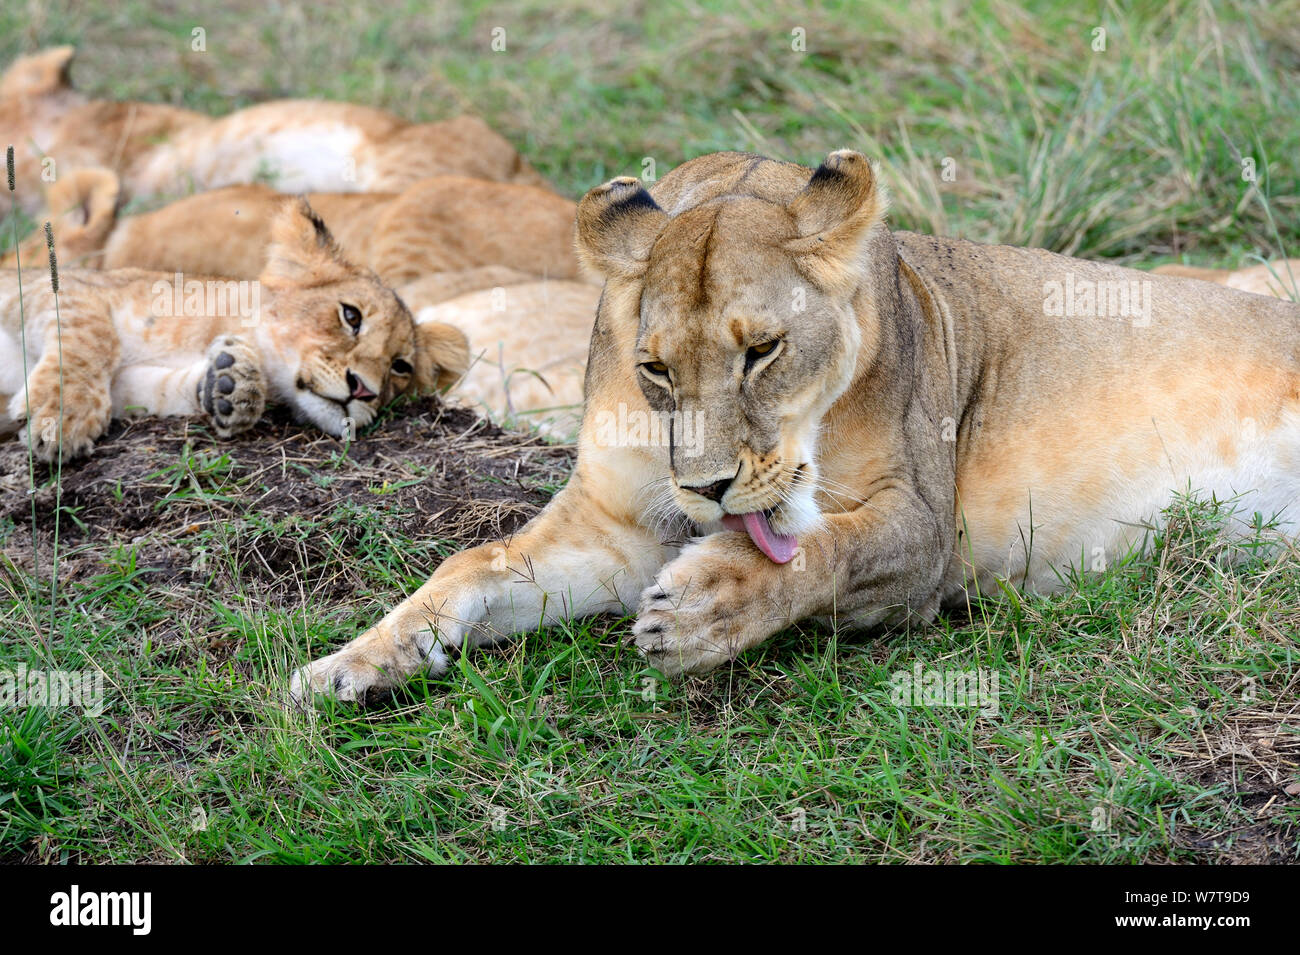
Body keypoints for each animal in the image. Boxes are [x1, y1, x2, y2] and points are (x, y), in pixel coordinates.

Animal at [1, 198, 469, 460]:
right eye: (351, 316)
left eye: (400, 367)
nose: (364, 391)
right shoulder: (50, 285)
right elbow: (92, 337)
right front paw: (62, 419)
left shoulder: (129, 384)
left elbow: (155, 387)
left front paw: (229, 386)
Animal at [291, 148, 1300, 703]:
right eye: (655, 367)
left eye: (763, 351)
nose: (706, 488)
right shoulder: (613, 530)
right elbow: (470, 565)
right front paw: (350, 663)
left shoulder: (927, 537)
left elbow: (822, 553)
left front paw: (707, 606)